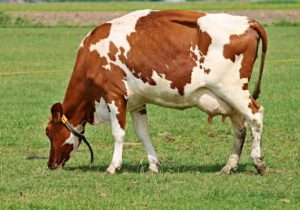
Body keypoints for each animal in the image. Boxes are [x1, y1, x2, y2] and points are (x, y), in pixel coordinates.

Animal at [46, 10, 268, 176]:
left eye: (48, 132)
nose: (50, 164)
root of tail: (248, 21)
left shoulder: (114, 96)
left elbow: (118, 133)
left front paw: (113, 166)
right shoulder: (137, 102)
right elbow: (143, 133)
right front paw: (153, 165)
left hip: (234, 90)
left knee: (256, 115)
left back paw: (259, 163)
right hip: (228, 100)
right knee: (240, 128)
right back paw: (229, 166)